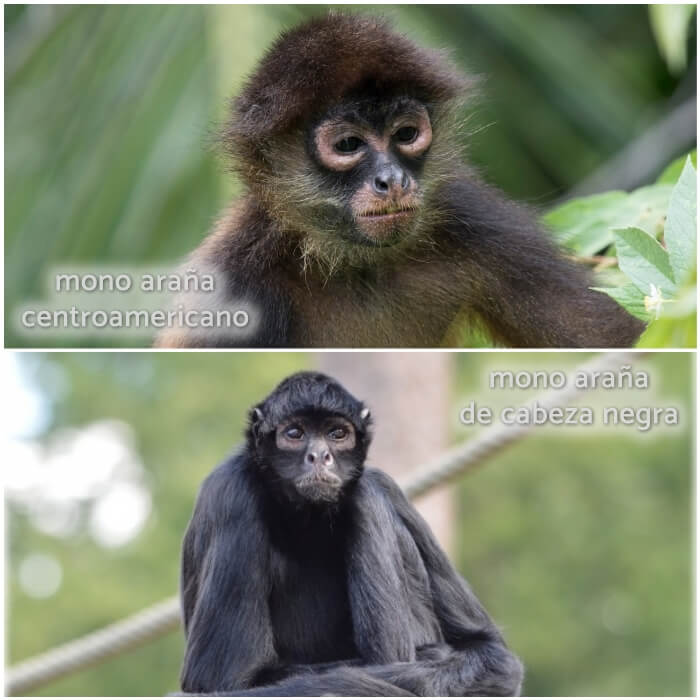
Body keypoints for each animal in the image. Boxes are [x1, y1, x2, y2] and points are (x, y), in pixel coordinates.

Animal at [156, 12, 644, 348]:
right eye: (348, 144)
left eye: (406, 135)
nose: (391, 180)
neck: (357, 264)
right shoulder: (234, 280)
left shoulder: (479, 222)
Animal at [178, 372, 524, 696]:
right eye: (294, 433)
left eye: (337, 434)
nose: (320, 456)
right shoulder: (231, 494)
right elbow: (223, 680)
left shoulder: (385, 483)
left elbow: (493, 654)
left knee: (365, 495)